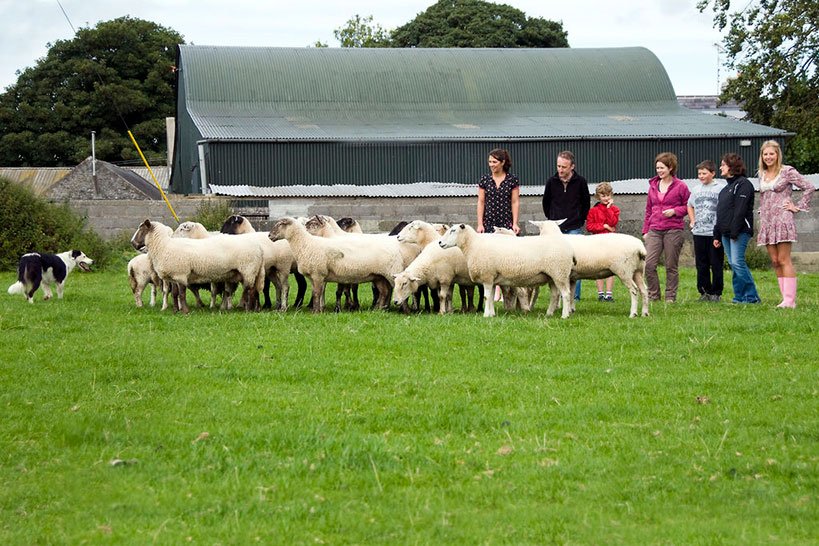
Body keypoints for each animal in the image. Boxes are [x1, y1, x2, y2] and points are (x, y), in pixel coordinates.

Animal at [132, 217, 262, 310]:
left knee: (249, 290)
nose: (133, 243)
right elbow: (176, 293)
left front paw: (186, 310)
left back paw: (247, 308)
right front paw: (176, 309)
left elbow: (183, 293)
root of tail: (258, 248)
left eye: (141, 229)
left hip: (247, 270)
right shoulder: (176, 276)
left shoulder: (181, 274)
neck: (163, 245)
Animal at [270, 216, 406, 310]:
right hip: (378, 276)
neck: (306, 243)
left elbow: (319, 293)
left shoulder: (319, 274)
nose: (269, 235)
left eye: (280, 224)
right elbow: (317, 292)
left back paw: (404, 310)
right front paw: (321, 308)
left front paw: (319, 311)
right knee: (384, 291)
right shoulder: (316, 276)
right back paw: (379, 309)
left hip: (391, 273)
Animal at [438, 221, 572, 314]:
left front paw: (486, 315)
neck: (473, 245)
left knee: (566, 294)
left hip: (559, 273)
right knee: (555, 295)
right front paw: (491, 314)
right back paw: (549, 313)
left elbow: (486, 297)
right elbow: (490, 298)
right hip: (552, 276)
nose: (439, 242)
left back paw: (564, 315)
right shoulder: (492, 278)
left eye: (453, 230)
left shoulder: (487, 275)